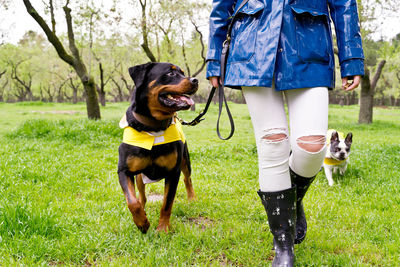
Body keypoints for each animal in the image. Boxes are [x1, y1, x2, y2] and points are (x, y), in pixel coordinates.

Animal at [117, 62, 198, 234]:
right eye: (170, 73)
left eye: (183, 73)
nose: (195, 80)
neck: (153, 127)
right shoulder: (124, 171)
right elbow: (132, 202)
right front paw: (142, 223)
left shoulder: (173, 173)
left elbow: (167, 204)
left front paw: (162, 229)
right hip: (139, 176)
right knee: (141, 195)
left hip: (185, 160)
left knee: (187, 178)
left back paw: (192, 198)